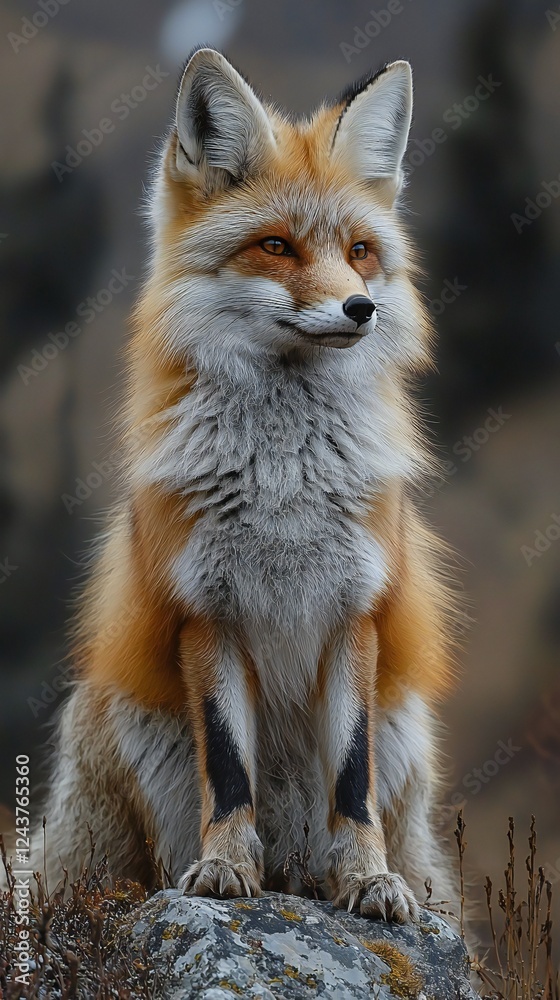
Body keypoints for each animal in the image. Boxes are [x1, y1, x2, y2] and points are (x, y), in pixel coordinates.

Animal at [29, 47, 460, 925]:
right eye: (276, 246)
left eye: (360, 251)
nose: (360, 308)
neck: (282, 481)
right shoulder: (207, 614)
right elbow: (228, 773)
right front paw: (227, 867)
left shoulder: (354, 613)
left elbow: (351, 782)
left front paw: (367, 880)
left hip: (406, 732)